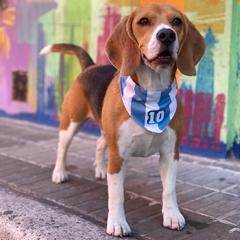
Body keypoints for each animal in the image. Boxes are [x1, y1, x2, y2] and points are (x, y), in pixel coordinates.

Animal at [40, 4, 205, 238]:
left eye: (176, 22)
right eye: (143, 21)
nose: (167, 35)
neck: (152, 93)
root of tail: (90, 67)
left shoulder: (170, 153)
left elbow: (169, 189)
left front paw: (172, 215)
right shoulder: (118, 155)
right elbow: (117, 194)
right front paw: (117, 223)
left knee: (100, 144)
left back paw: (100, 169)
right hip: (71, 123)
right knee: (62, 149)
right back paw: (60, 173)